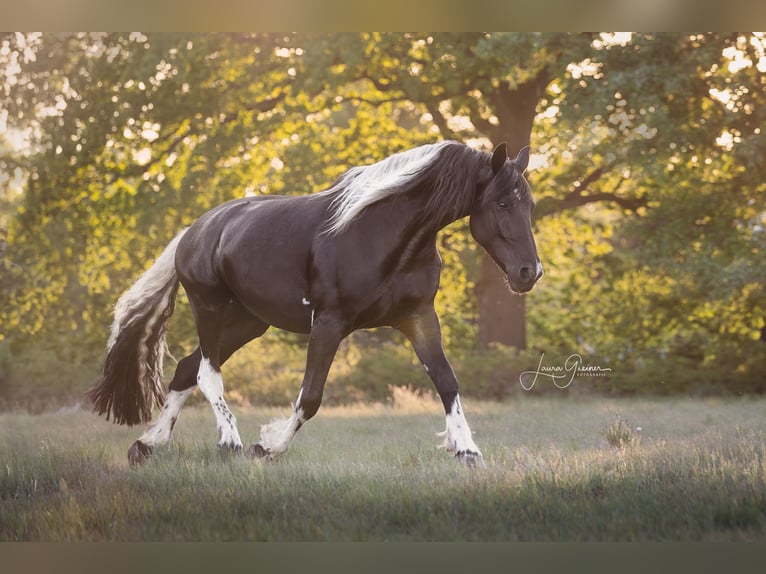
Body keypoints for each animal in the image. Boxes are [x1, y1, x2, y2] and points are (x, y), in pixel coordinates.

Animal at [88, 140, 543, 468]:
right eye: (502, 203)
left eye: (529, 204)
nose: (530, 273)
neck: (378, 231)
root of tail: (195, 230)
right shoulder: (328, 323)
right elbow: (310, 396)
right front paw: (267, 447)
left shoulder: (418, 317)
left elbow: (447, 381)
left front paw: (468, 451)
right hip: (210, 309)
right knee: (206, 372)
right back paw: (229, 441)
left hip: (249, 322)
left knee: (185, 369)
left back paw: (147, 445)